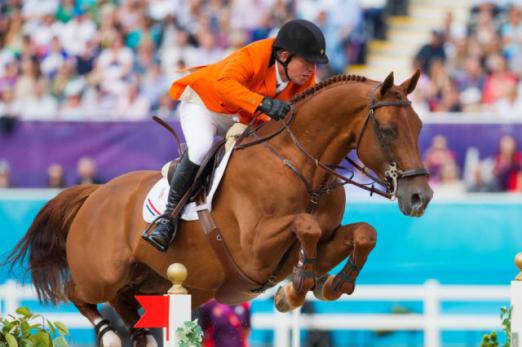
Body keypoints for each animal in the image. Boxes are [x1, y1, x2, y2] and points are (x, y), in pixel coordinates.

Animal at [7, 71, 430, 347]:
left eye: (421, 127)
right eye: (388, 130)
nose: (420, 197)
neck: (302, 164)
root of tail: (95, 193)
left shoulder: (322, 240)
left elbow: (363, 233)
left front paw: (326, 286)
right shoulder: (255, 248)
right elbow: (305, 226)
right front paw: (296, 290)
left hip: (160, 282)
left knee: (127, 304)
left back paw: (142, 336)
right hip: (103, 272)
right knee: (77, 293)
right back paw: (111, 335)